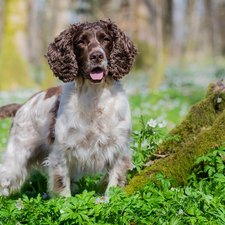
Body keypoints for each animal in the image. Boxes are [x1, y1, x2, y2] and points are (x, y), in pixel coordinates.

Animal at [0, 19, 139, 199]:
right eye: (80, 42)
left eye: (106, 39)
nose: (97, 56)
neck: (95, 95)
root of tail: (23, 105)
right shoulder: (61, 153)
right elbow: (63, 190)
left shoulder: (119, 149)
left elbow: (114, 183)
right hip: (15, 159)